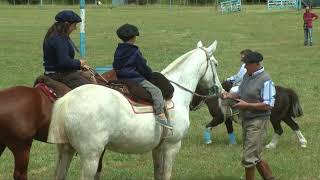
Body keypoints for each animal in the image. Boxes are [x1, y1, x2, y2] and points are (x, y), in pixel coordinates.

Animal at [47, 40, 224, 180]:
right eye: (215, 64)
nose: (220, 89)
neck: (177, 93)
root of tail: (67, 99)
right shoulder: (172, 146)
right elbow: (166, 175)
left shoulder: (158, 148)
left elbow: (158, 174)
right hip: (91, 156)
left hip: (66, 150)